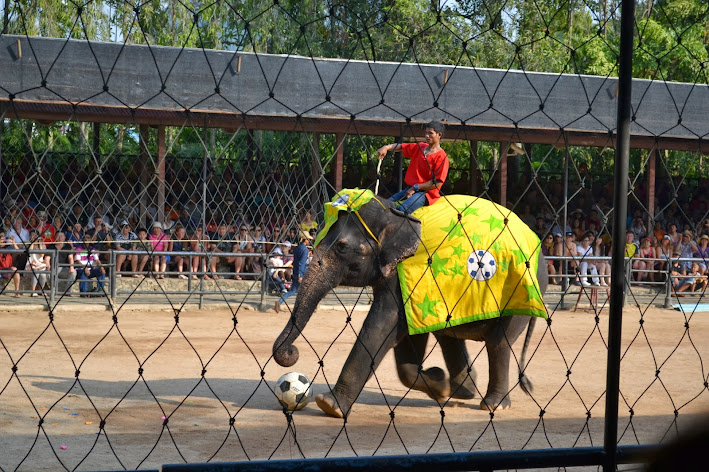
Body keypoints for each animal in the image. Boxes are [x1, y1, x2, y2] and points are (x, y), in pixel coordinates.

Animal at [272, 192, 548, 416]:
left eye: (341, 247)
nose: (292, 352)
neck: (395, 213)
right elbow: (404, 339)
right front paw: (439, 384)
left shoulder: (409, 273)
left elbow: (383, 325)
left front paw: (330, 406)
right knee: (449, 336)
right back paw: (461, 392)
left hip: (519, 288)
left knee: (498, 343)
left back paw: (493, 405)